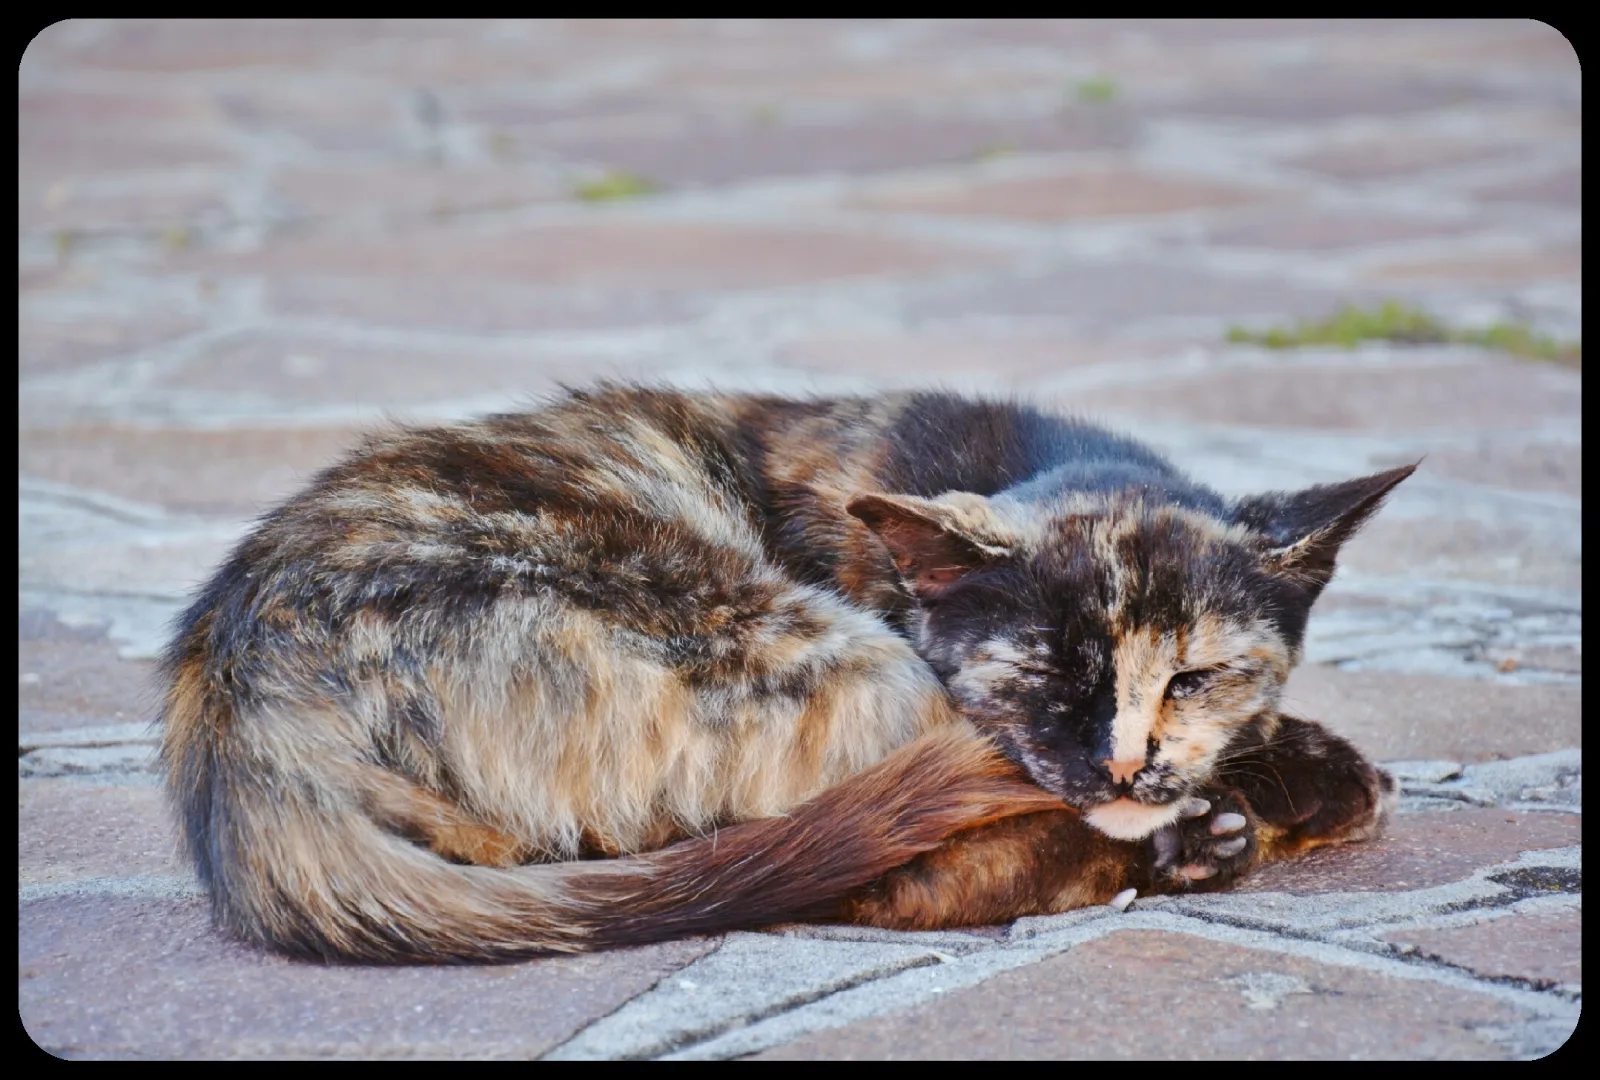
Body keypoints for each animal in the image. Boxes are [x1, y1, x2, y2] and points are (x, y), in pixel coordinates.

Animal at [159, 384, 1408, 962]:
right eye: (1043, 668)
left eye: (1193, 677)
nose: (1123, 766)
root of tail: (241, 714)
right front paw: (1292, 782)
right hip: (816, 649)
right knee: (850, 873)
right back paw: (1204, 840)